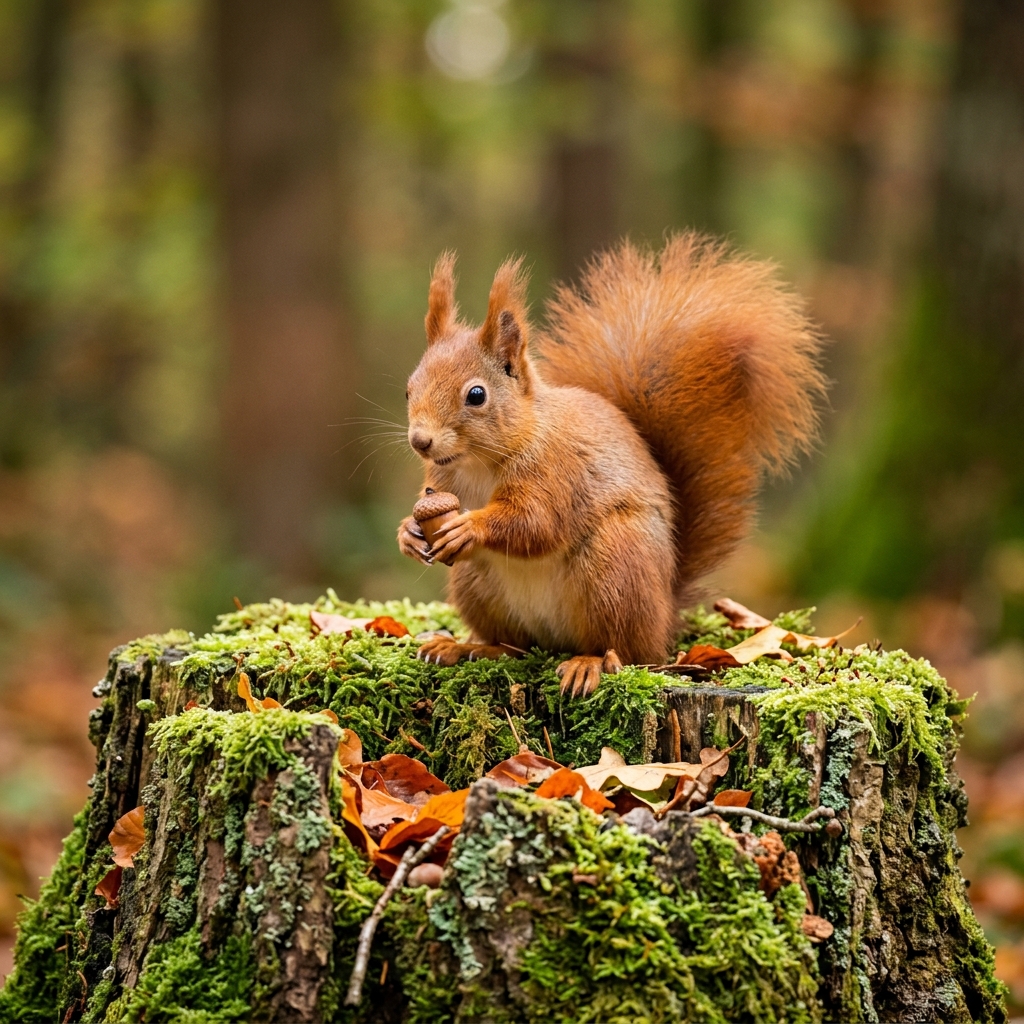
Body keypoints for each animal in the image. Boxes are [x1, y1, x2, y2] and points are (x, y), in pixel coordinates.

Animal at [397, 234, 826, 696]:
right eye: (408, 389)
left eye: (476, 395)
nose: (420, 441)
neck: (479, 461)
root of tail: (665, 614)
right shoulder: (441, 479)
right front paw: (408, 532)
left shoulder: (556, 471)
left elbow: (535, 523)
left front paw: (468, 527)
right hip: (478, 585)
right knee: (514, 646)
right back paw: (464, 648)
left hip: (615, 568)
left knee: (627, 650)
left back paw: (590, 663)